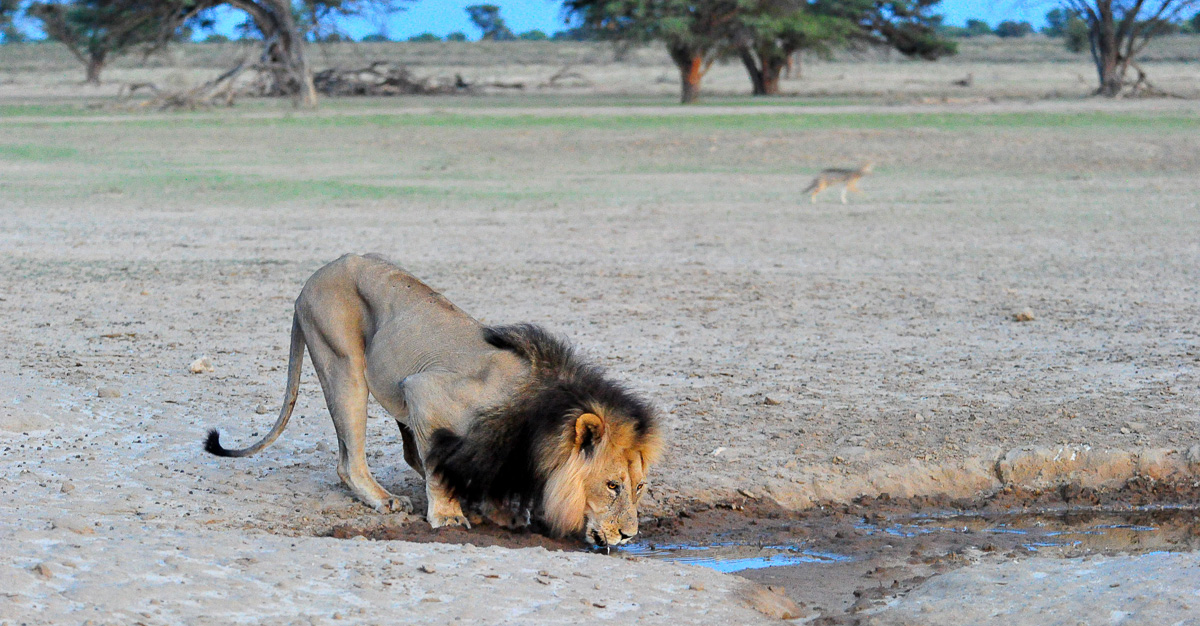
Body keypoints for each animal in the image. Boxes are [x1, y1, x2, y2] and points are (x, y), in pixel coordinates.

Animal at [204, 253, 661, 547]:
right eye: (612, 485)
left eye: (639, 487)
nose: (630, 535)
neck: (538, 421)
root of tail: (311, 279)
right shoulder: (424, 392)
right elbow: (439, 470)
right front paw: (448, 515)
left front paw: (498, 511)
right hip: (344, 365)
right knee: (351, 461)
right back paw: (384, 499)